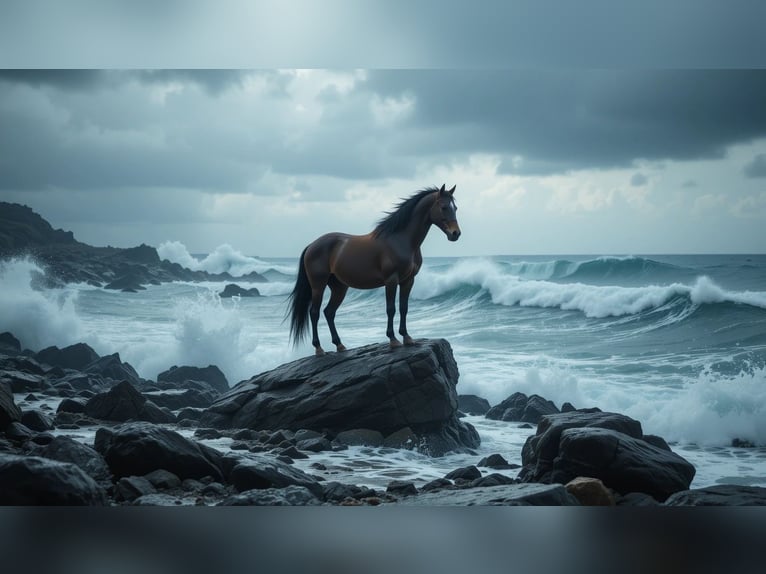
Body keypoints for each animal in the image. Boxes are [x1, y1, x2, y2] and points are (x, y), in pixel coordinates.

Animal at [288, 184, 462, 356]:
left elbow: (403, 308)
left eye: (455, 208)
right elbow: (391, 309)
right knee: (314, 313)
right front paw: (393, 339)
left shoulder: (408, 280)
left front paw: (407, 337)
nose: (456, 234)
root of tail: (312, 245)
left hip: (339, 287)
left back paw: (340, 345)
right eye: (444, 207)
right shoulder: (391, 280)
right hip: (318, 285)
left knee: (329, 312)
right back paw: (319, 348)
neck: (400, 240)